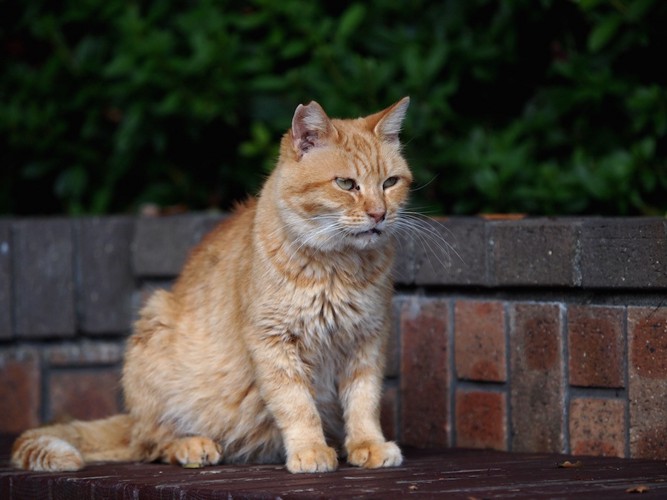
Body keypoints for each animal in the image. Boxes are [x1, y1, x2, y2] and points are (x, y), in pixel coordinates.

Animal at [11, 96, 412, 472]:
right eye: (346, 184)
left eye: (390, 183)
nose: (379, 214)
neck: (340, 268)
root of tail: (132, 420)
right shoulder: (273, 342)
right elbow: (297, 404)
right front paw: (311, 450)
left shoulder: (368, 340)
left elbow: (363, 401)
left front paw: (368, 445)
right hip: (153, 335)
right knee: (152, 443)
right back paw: (192, 445)